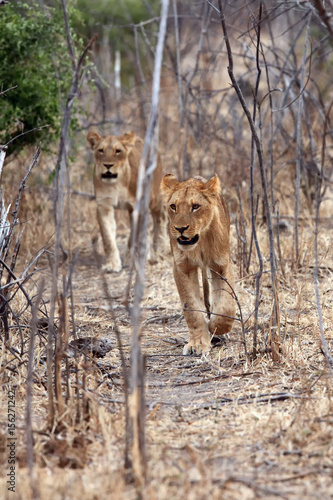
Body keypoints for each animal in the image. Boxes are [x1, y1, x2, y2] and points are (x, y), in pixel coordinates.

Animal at [86, 129, 165, 272]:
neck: (116, 183)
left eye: (118, 151)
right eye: (101, 150)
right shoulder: (104, 205)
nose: (108, 165)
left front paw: (131, 260)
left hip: (153, 197)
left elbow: (133, 236)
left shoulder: (137, 206)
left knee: (160, 216)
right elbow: (107, 236)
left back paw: (160, 248)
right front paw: (112, 264)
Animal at [160, 174, 233, 354]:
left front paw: (215, 327)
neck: (200, 243)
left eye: (195, 206)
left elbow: (226, 306)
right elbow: (191, 307)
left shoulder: (222, 264)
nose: (180, 228)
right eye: (173, 206)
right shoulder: (182, 267)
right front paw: (197, 343)